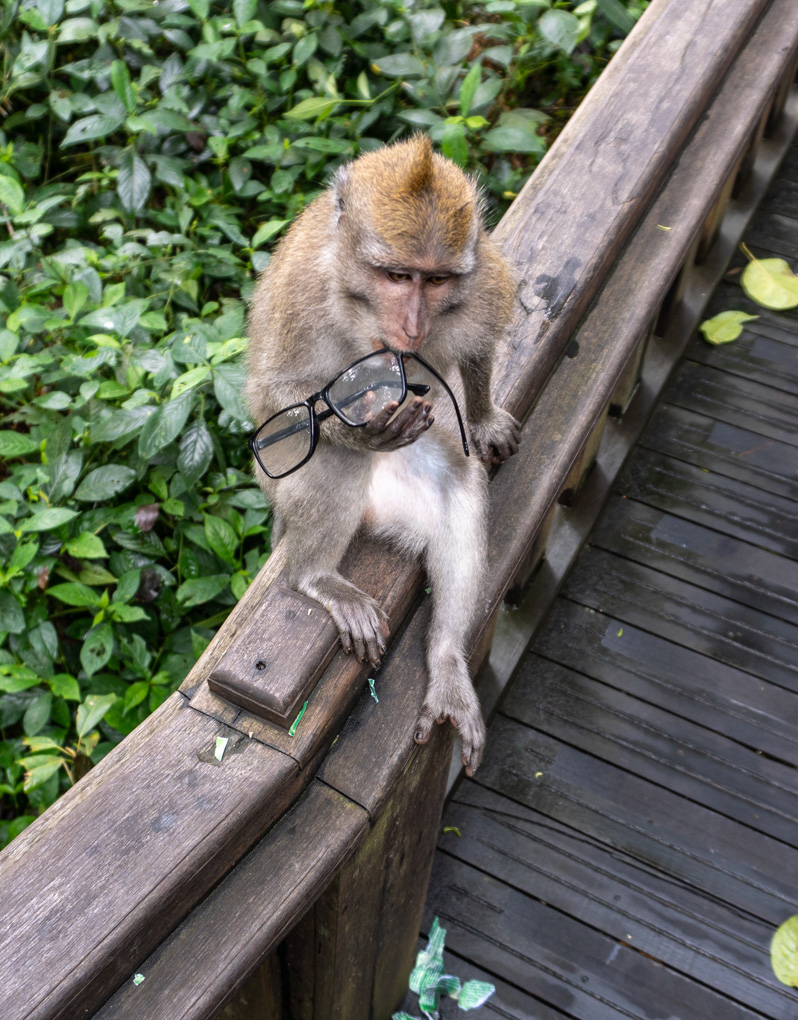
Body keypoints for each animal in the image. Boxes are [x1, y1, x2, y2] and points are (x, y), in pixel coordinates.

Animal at [244, 134, 519, 775]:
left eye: (435, 280)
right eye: (396, 275)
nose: (413, 325)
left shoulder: (479, 282)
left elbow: (479, 341)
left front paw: (483, 415)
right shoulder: (302, 296)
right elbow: (273, 395)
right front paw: (362, 428)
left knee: (461, 482)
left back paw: (446, 660)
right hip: (286, 486)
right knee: (329, 459)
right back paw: (314, 575)